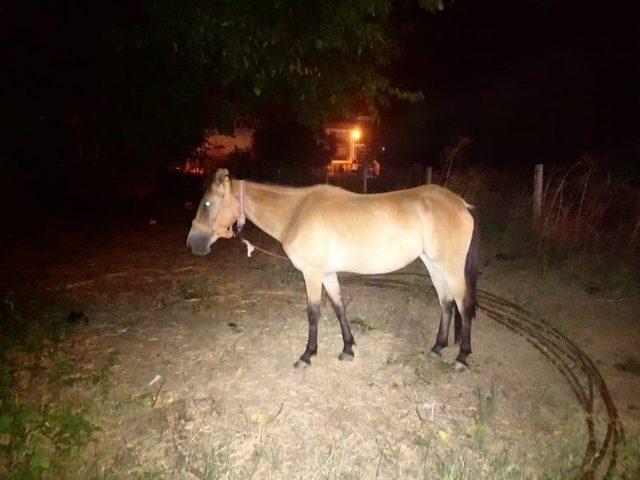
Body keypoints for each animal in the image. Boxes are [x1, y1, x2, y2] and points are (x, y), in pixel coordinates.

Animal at [188, 169, 478, 372]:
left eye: (207, 204)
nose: (192, 244)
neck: (296, 212)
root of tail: (463, 205)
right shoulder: (327, 274)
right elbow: (339, 307)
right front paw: (348, 348)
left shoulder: (312, 274)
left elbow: (313, 313)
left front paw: (307, 355)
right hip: (434, 265)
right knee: (446, 303)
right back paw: (437, 348)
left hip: (450, 266)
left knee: (463, 305)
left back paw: (461, 357)